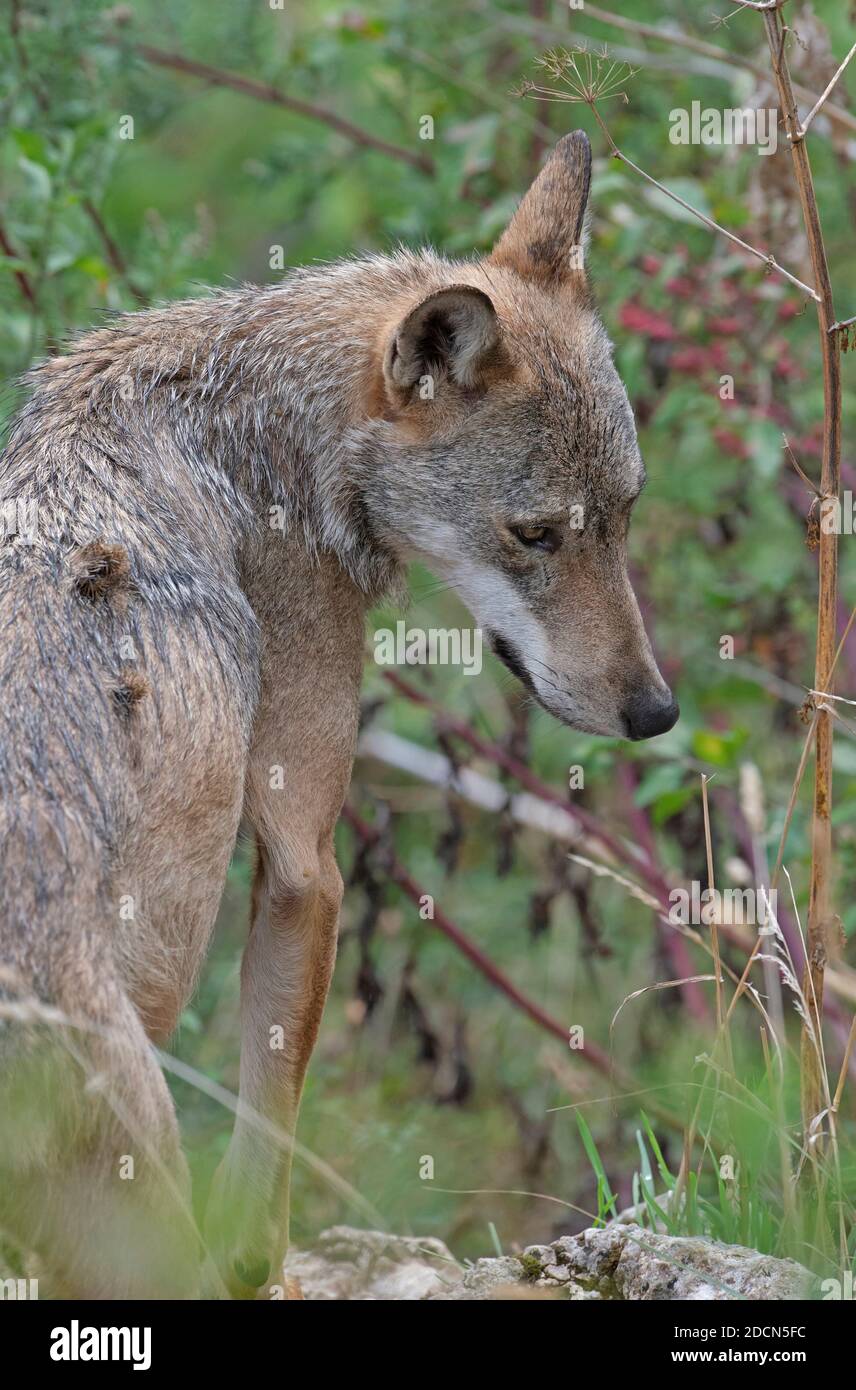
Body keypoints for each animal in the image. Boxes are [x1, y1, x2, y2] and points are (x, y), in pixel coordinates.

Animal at [0, 130, 675, 1289]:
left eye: (623, 517)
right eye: (535, 535)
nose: (655, 712)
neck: (260, 430)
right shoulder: (303, 860)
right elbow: (266, 1173)